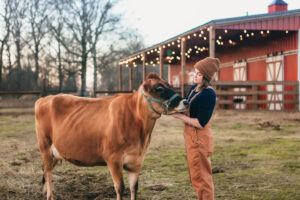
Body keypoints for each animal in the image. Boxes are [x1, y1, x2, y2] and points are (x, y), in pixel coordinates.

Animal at [35, 73, 188, 200]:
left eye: (169, 84)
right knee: (48, 171)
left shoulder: (137, 160)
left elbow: (134, 187)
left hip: (56, 151)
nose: (185, 101)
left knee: (46, 170)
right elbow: (120, 188)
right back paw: (50, 196)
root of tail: (45, 98)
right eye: (159, 88)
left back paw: (45, 193)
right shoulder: (113, 158)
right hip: (45, 146)